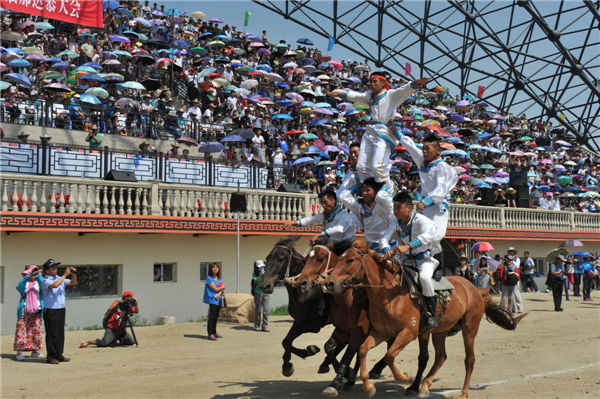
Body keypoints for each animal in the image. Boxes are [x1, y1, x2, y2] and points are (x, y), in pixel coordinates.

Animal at [258, 238, 342, 378]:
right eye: (267, 258)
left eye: (281, 258)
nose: (265, 285)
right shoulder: (299, 321)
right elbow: (286, 341)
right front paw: (290, 363)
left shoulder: (312, 325)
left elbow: (288, 341)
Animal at [286, 239, 398, 398]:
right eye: (305, 259)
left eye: (321, 259)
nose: (302, 282)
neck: (349, 299)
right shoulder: (342, 330)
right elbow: (328, 347)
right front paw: (347, 374)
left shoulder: (358, 332)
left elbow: (347, 356)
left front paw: (337, 382)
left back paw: (374, 370)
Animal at [324, 242, 524, 398]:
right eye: (338, 259)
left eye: (350, 260)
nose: (330, 283)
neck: (389, 295)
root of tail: (475, 289)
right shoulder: (381, 332)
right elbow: (363, 350)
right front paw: (368, 386)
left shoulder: (408, 333)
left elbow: (389, 356)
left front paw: (404, 377)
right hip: (440, 331)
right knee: (441, 356)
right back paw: (424, 386)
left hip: (469, 329)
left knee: (469, 359)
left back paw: (463, 392)